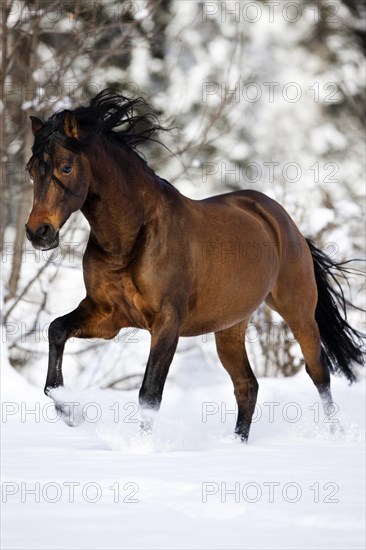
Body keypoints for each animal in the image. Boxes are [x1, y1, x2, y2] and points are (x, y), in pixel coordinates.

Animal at [25, 90, 364, 444]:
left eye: (65, 167)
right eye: (31, 170)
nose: (38, 233)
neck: (131, 240)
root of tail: (282, 219)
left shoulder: (166, 322)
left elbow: (150, 393)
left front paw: (142, 447)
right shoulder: (107, 315)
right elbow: (56, 330)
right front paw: (68, 410)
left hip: (298, 312)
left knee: (319, 372)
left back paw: (335, 435)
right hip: (230, 326)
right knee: (247, 386)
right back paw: (237, 444)